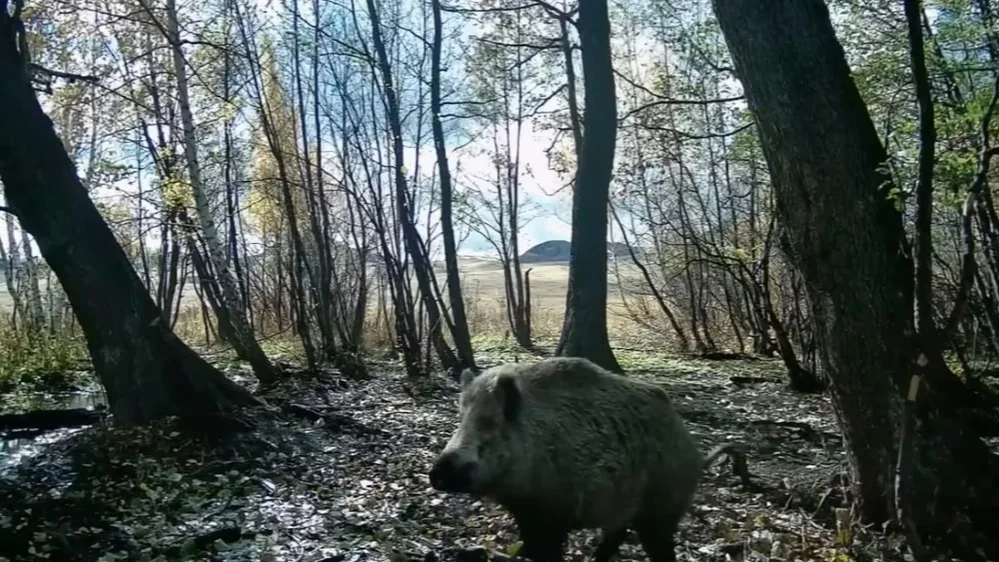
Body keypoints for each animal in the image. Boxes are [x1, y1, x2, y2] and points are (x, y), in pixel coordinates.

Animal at [428, 356, 731, 562]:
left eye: (489, 424)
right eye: (460, 419)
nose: (437, 472)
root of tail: (694, 452)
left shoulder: (554, 512)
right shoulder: (525, 513)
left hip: (663, 507)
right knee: (616, 536)